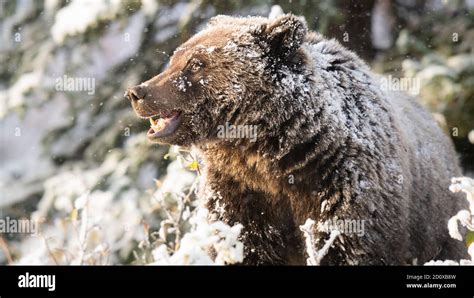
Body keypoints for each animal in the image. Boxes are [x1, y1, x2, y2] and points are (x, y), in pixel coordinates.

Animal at [126, 14, 466, 266]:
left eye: (196, 63)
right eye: (175, 57)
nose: (138, 92)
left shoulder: (344, 189)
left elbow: (349, 245)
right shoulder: (240, 193)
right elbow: (242, 244)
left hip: (440, 226)